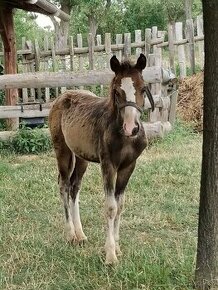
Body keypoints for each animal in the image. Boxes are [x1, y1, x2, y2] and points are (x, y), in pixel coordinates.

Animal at [48, 53, 154, 264]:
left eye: (143, 88)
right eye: (117, 91)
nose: (131, 128)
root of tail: (61, 97)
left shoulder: (129, 166)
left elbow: (120, 205)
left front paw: (118, 248)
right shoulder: (108, 165)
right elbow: (110, 207)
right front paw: (110, 255)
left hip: (82, 156)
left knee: (74, 187)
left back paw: (81, 235)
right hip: (62, 150)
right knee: (64, 185)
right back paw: (70, 234)